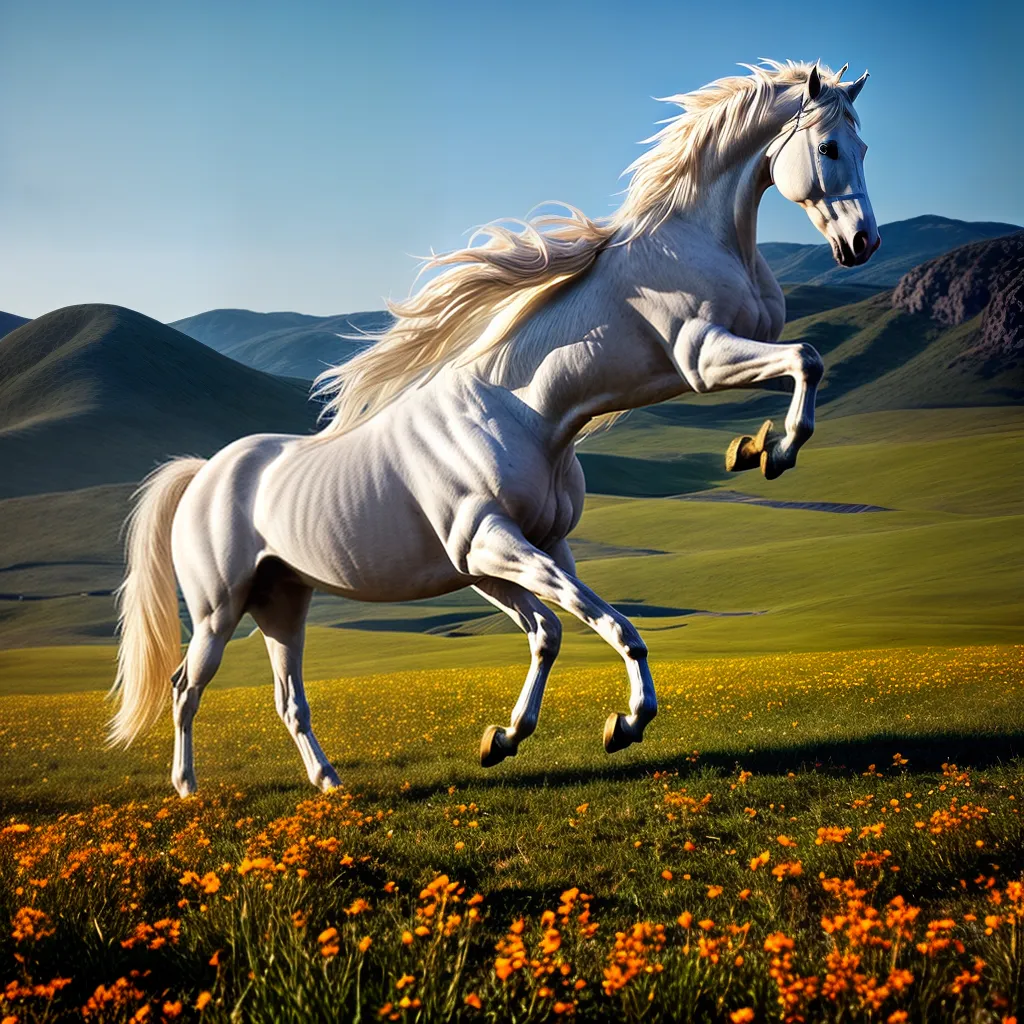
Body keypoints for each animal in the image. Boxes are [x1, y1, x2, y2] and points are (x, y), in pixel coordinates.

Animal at [109, 60, 879, 796]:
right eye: (830, 146)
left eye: (866, 145)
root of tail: (204, 472)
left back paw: (328, 782)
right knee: (185, 688)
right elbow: (611, 624)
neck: (529, 411)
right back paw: (188, 789)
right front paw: (626, 722)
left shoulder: (519, 552)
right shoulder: (688, 366)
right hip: (219, 608)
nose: (862, 242)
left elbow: (552, 633)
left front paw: (504, 739)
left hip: (283, 602)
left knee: (287, 698)